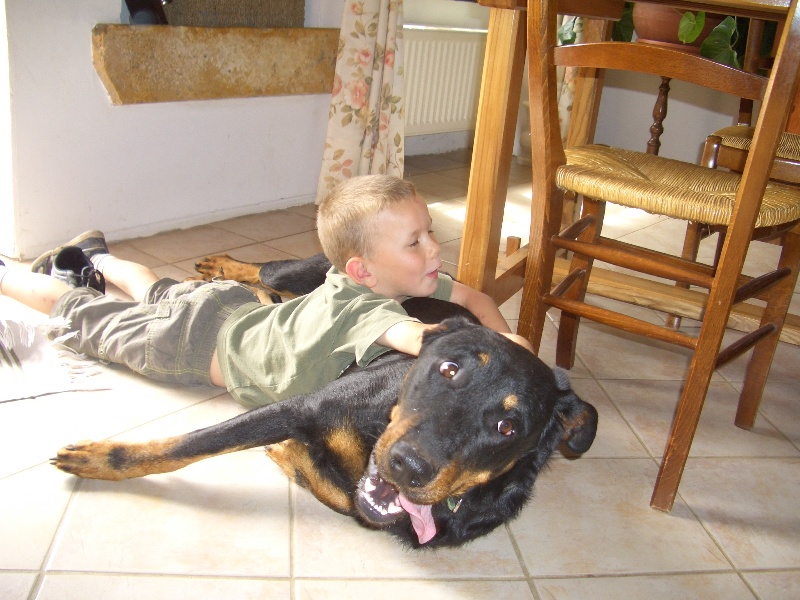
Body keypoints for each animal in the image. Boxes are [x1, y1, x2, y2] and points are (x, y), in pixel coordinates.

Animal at [54, 253, 592, 548]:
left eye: (508, 428)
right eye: (449, 369)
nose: (410, 466)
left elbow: (332, 483)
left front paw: (292, 455)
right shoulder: (299, 408)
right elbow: (185, 446)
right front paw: (101, 459)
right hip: (304, 271)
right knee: (266, 271)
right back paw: (217, 267)